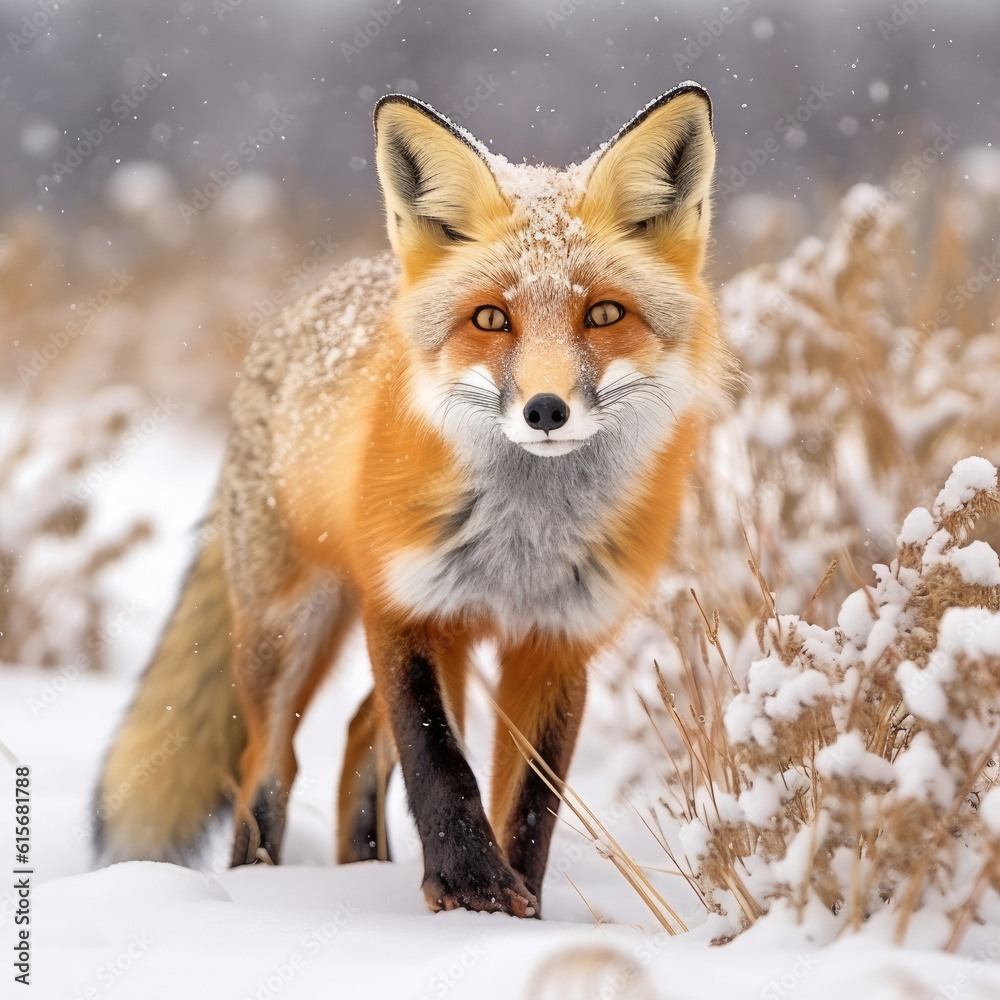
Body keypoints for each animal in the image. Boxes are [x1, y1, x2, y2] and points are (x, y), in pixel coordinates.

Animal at [97, 82, 740, 916]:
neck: (523, 545)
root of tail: (311, 299)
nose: (545, 410)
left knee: (352, 739)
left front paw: (519, 909)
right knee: (270, 764)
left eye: (603, 313)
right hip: (290, 628)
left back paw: (361, 864)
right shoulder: (406, 605)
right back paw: (257, 880)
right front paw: (470, 888)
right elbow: (439, 761)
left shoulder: (558, 638)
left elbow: (530, 799)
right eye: (491, 318)